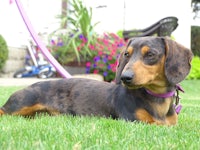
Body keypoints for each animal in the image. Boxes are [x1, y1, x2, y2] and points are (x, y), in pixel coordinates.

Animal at [0, 37, 194, 125]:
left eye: (151, 54)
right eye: (127, 54)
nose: (124, 78)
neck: (155, 99)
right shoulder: (135, 122)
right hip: (22, 103)